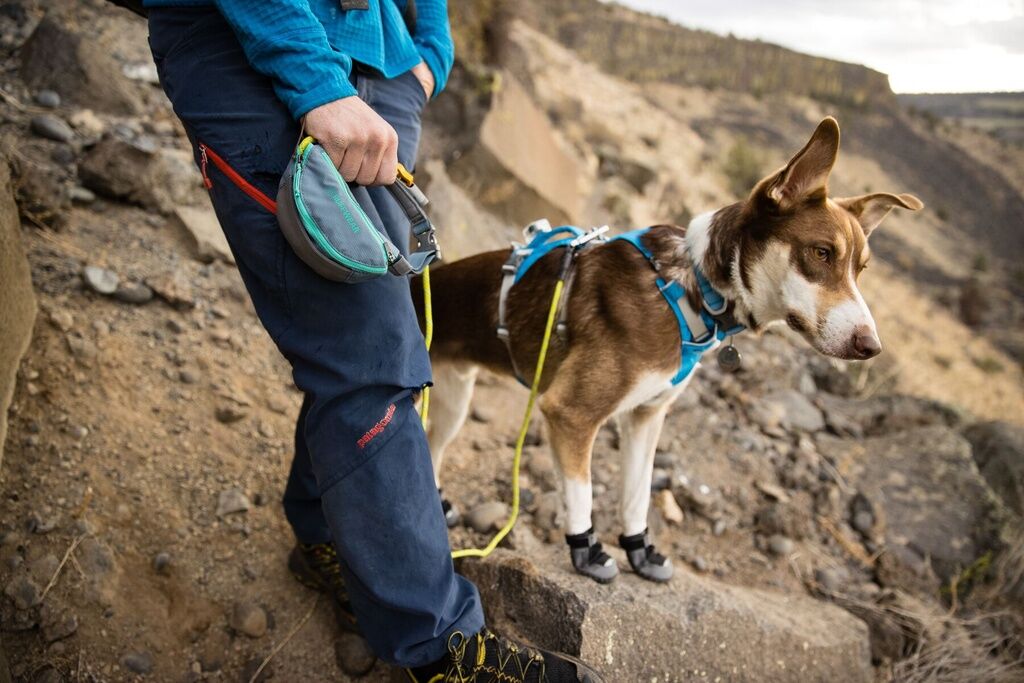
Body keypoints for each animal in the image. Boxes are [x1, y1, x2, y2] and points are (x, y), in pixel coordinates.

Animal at [411, 117, 925, 581]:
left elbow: (637, 494)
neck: (689, 287)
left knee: (432, 448)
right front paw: (587, 551)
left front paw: (640, 551)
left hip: (454, 400)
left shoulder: (646, 416)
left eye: (861, 269)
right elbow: (583, 493)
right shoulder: (571, 413)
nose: (871, 346)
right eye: (821, 253)